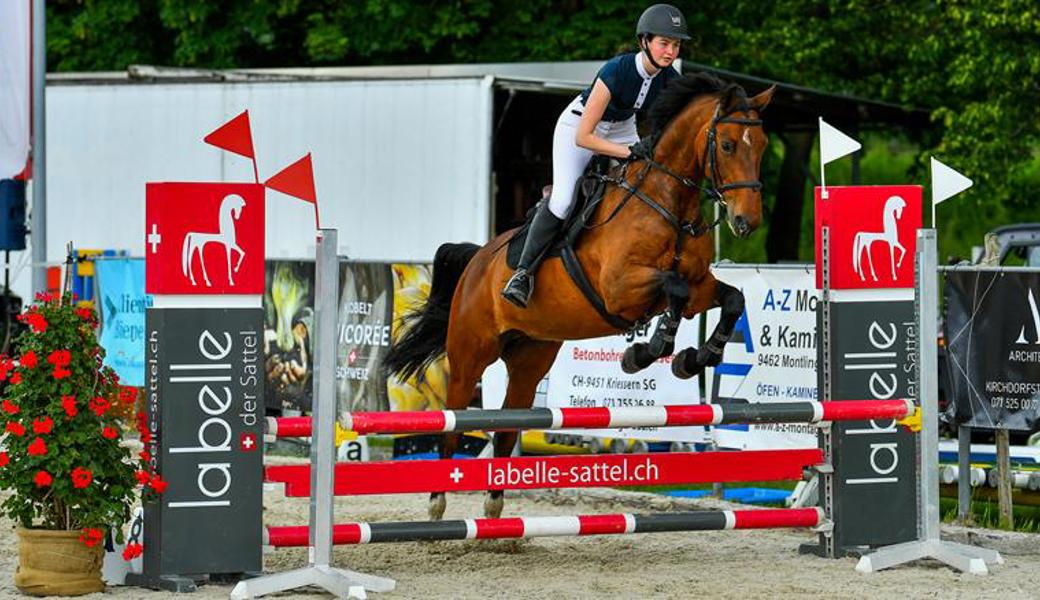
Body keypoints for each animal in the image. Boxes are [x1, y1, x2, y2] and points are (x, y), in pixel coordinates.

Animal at [386, 74, 777, 522]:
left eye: (762, 145)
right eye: (727, 145)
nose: (747, 222)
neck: (668, 203)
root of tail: (478, 260)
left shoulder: (698, 287)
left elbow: (731, 299)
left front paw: (695, 358)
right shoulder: (621, 288)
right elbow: (672, 291)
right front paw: (644, 353)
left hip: (529, 359)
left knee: (505, 429)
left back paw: (495, 508)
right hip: (471, 355)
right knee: (452, 424)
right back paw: (437, 505)